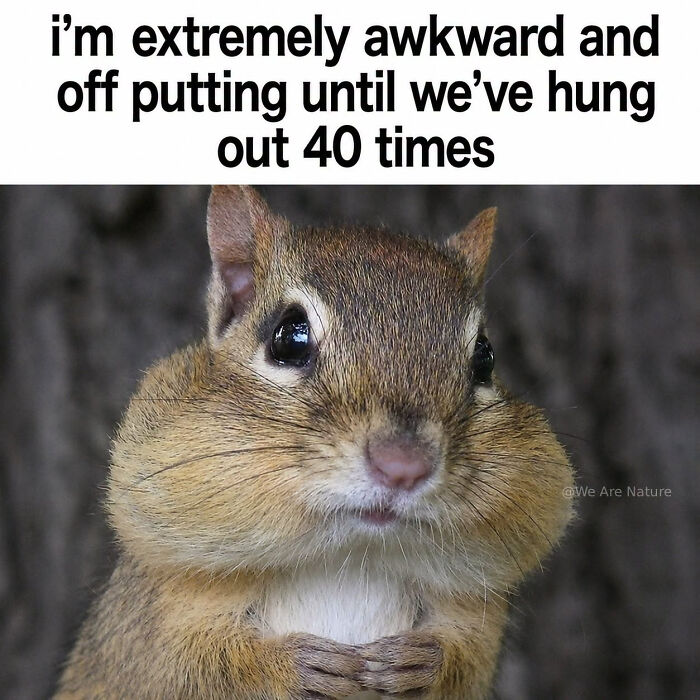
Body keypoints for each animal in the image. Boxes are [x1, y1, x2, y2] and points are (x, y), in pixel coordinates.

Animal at [57, 186, 573, 699]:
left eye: (485, 357)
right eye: (289, 337)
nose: (403, 466)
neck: (351, 560)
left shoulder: (478, 621)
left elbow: (465, 661)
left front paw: (422, 664)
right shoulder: (159, 625)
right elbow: (201, 667)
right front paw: (290, 667)